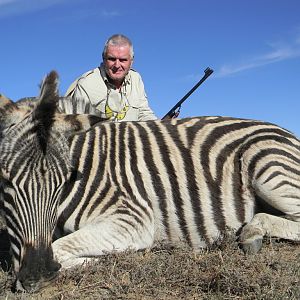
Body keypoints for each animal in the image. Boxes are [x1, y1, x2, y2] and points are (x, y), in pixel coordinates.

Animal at [0, 69, 298, 290]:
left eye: (64, 180)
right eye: (5, 181)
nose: (37, 275)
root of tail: (287, 133)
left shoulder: (133, 217)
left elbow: (61, 249)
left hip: (267, 164)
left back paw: (251, 234)